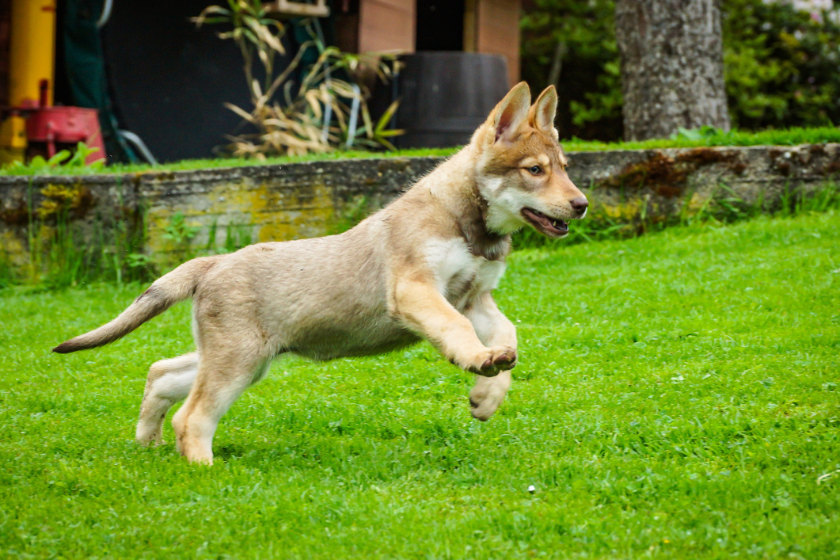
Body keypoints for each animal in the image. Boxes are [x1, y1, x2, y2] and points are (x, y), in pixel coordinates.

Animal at [55, 81, 588, 462]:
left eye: (564, 166)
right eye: (535, 170)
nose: (581, 205)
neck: (465, 221)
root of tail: (213, 261)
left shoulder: (475, 297)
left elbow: (508, 335)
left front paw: (487, 393)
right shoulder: (417, 290)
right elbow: (458, 332)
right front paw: (477, 361)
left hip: (244, 360)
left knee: (161, 373)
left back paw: (149, 443)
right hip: (237, 363)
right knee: (193, 417)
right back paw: (206, 472)